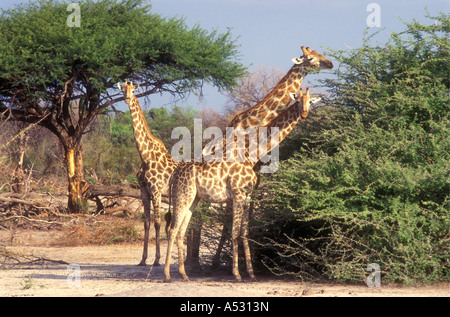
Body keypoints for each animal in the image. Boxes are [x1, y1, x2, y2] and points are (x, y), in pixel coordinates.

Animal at [117, 80, 178, 266]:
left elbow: (157, 222)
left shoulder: (156, 191)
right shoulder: (144, 191)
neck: (145, 156)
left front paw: (157, 259)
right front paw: (143, 259)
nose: (127, 98)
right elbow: (146, 223)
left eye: (132, 89)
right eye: (123, 89)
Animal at [163, 87, 318, 280]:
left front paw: (251, 273)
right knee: (172, 229)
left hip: (193, 199)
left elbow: (245, 233)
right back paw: (167, 274)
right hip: (182, 196)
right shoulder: (237, 194)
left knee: (181, 230)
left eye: (310, 101)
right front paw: (237, 273)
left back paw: (184, 274)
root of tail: (174, 174)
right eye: (297, 100)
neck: (252, 155)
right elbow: (235, 233)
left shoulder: (247, 195)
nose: (304, 113)